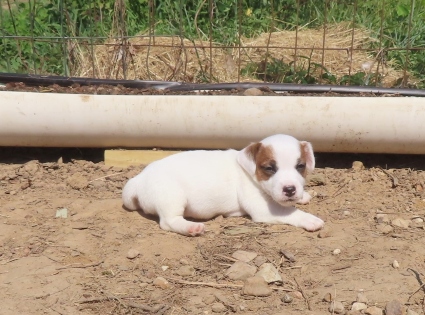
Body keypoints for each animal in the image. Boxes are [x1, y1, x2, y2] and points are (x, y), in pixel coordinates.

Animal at [122, 135, 324, 237]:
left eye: (300, 166)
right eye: (269, 168)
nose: (290, 189)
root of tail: (137, 180)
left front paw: (303, 196)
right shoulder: (264, 209)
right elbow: (289, 211)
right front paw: (310, 219)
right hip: (171, 196)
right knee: (168, 222)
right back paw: (191, 228)